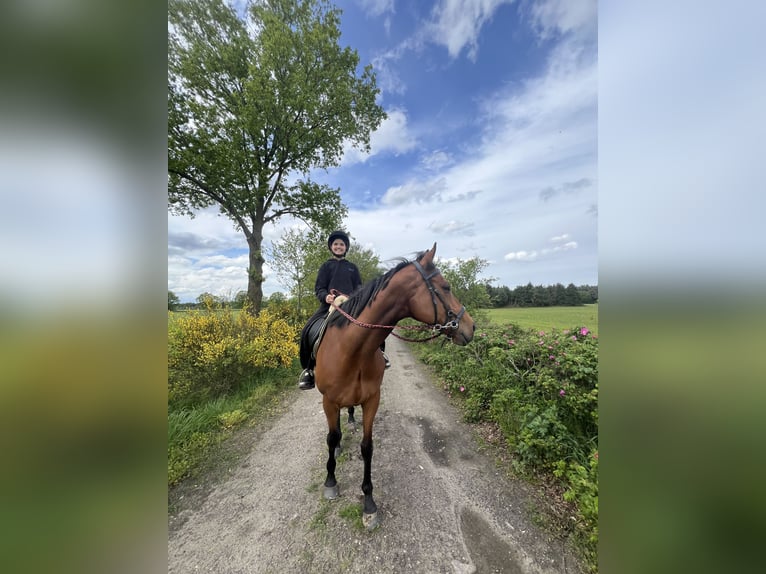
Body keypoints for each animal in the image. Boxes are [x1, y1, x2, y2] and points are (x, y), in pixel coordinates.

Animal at [314, 242, 474, 532]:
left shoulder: (371, 400)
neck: (352, 349)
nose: (471, 326)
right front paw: (330, 482)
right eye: (446, 287)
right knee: (334, 432)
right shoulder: (328, 400)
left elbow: (367, 447)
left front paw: (369, 504)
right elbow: (331, 438)